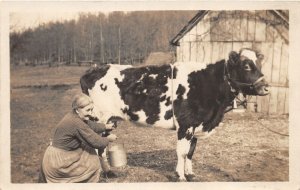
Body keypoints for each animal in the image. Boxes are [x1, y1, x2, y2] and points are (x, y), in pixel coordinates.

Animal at [79, 48, 270, 181]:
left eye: (259, 64)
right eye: (246, 65)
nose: (266, 87)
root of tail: (93, 70)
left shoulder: (196, 125)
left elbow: (191, 151)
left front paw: (190, 174)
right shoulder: (185, 124)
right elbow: (182, 152)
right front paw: (180, 176)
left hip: (110, 120)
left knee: (102, 146)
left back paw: (108, 172)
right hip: (98, 118)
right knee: (96, 147)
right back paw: (104, 174)